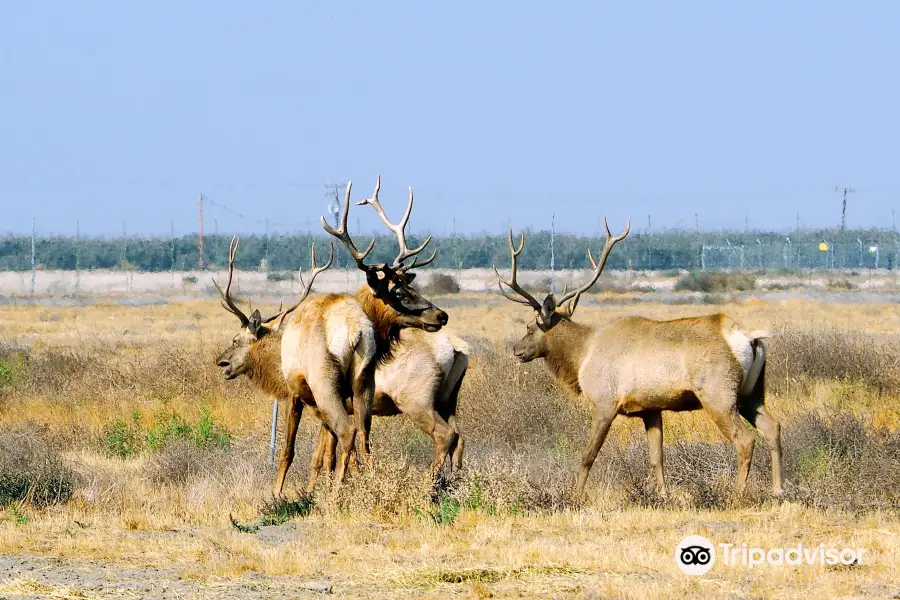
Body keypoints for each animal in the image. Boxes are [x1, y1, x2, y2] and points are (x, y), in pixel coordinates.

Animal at [496, 218, 784, 500]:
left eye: (530, 327)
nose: (516, 350)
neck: (582, 356)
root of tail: (750, 338)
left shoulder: (604, 402)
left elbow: (588, 455)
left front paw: (575, 497)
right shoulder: (650, 407)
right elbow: (657, 457)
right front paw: (663, 496)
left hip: (718, 394)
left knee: (745, 440)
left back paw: (736, 494)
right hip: (751, 393)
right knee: (773, 427)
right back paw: (778, 489)